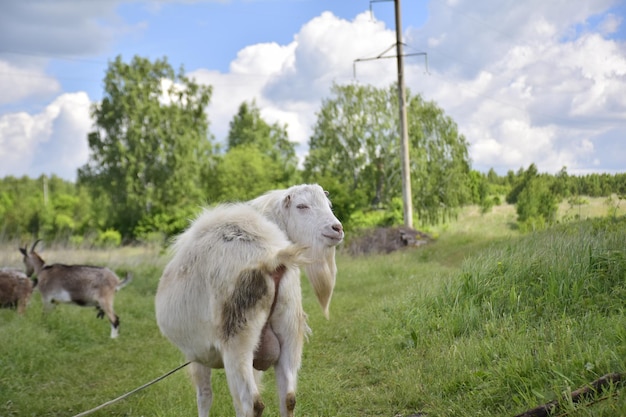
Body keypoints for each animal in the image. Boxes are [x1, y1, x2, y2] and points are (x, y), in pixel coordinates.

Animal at [154, 184, 344, 416]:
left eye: (328, 204)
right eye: (302, 206)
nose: (337, 228)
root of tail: (272, 259)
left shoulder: (197, 352)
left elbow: (204, 396)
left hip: (237, 340)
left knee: (250, 403)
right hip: (289, 328)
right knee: (288, 397)